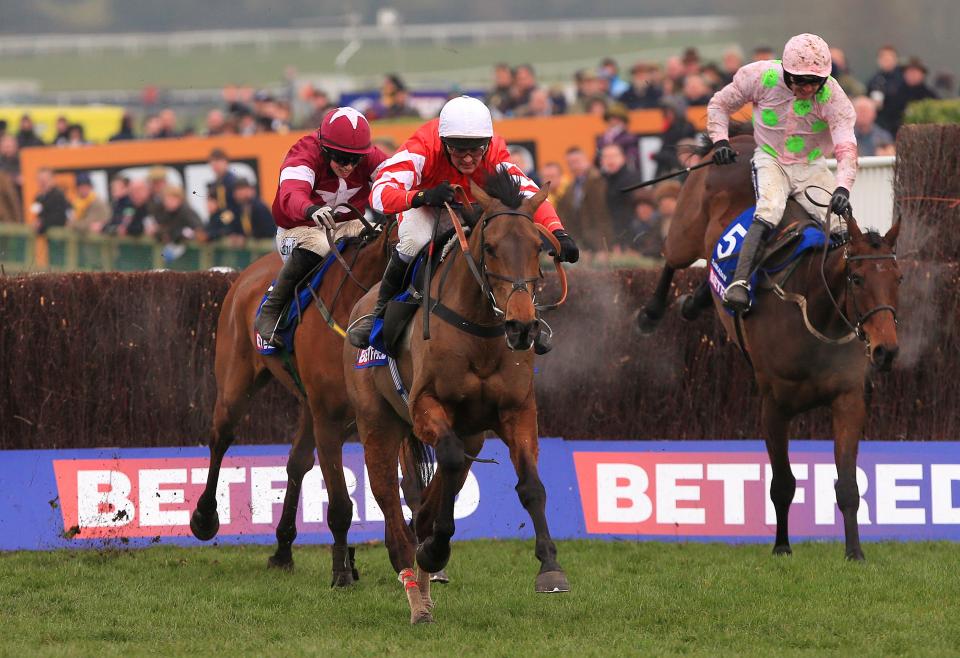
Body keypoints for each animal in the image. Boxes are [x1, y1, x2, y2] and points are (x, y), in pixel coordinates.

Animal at [189, 211, 406, 584]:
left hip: (306, 404)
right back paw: (204, 517)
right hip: (235, 383)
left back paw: (283, 548)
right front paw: (342, 573)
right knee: (220, 438)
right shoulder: (329, 418)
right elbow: (340, 505)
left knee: (297, 462)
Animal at [344, 169, 568, 620]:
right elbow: (444, 459)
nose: (522, 327)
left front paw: (550, 567)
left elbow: (531, 485)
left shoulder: (517, 410)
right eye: (491, 247)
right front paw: (434, 550)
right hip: (377, 423)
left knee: (440, 488)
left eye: (539, 248)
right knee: (389, 503)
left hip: (473, 433)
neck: (479, 332)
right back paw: (416, 591)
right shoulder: (425, 405)